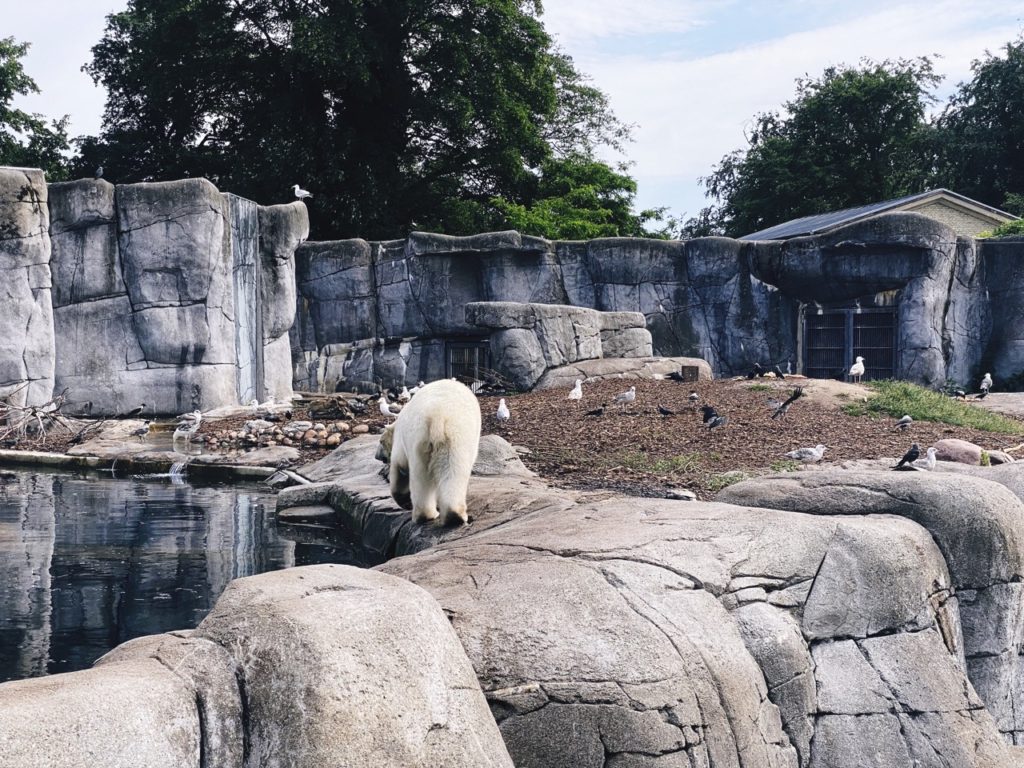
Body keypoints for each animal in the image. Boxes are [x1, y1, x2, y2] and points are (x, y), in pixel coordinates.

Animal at [385, 379, 481, 525]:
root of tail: (437, 417)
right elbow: (400, 465)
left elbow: (400, 466)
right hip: (455, 436)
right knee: (451, 471)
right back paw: (448, 515)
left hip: (421, 439)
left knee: (421, 474)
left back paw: (436, 515)